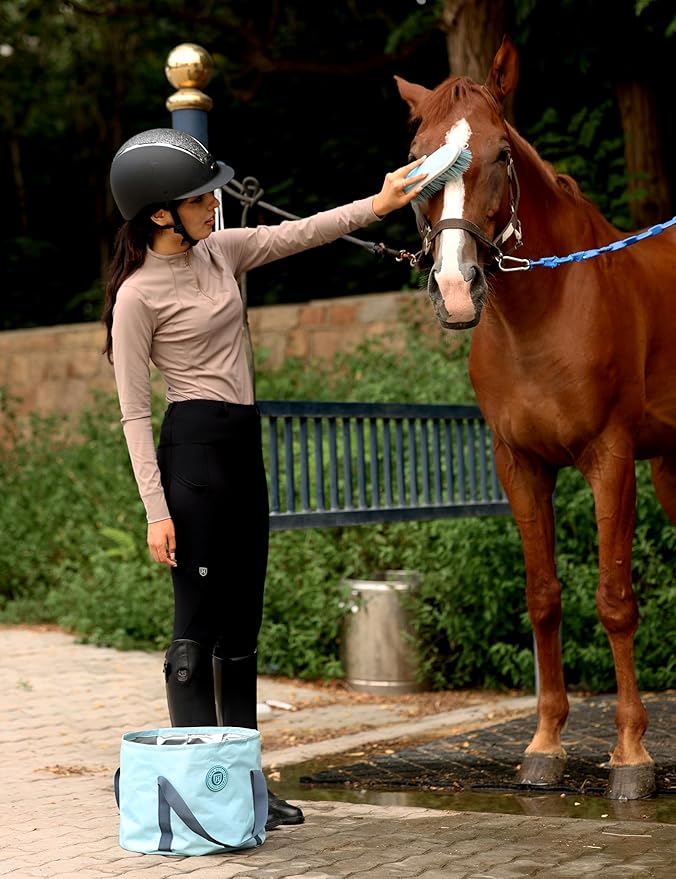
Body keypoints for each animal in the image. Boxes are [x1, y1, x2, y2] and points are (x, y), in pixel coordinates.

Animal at [395, 35, 676, 800]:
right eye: (417, 156)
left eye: (498, 154)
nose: (455, 289)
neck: (543, 316)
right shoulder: (519, 464)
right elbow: (543, 596)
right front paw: (545, 744)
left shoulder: (610, 459)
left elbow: (614, 598)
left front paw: (631, 755)